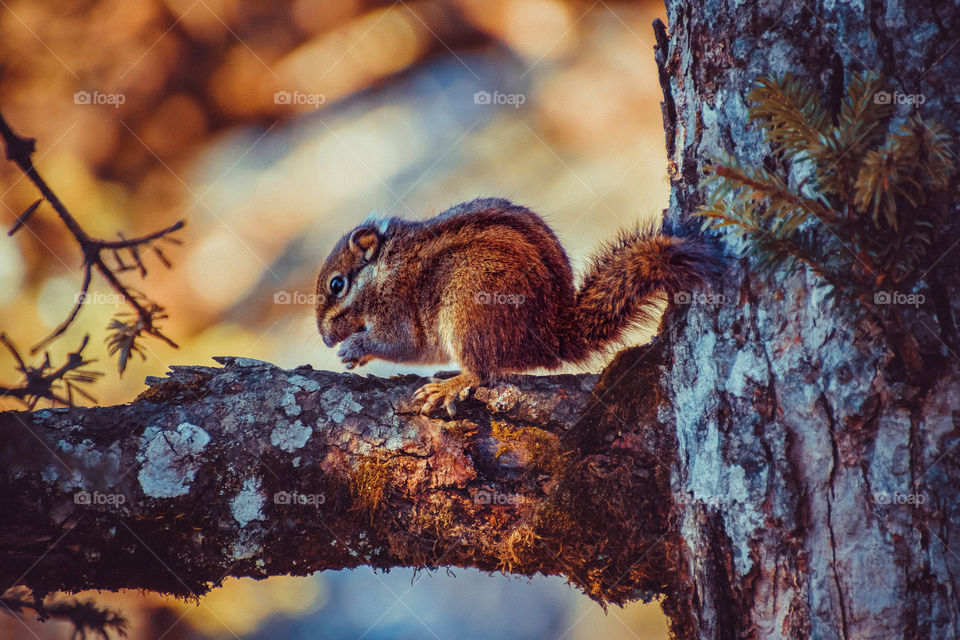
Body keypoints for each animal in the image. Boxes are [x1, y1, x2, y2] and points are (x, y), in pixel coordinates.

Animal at [315, 197, 718, 417]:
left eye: (337, 285)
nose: (325, 340)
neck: (384, 265)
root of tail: (553, 335)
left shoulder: (396, 305)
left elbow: (401, 344)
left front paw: (355, 347)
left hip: (468, 310)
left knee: (483, 373)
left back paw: (451, 384)